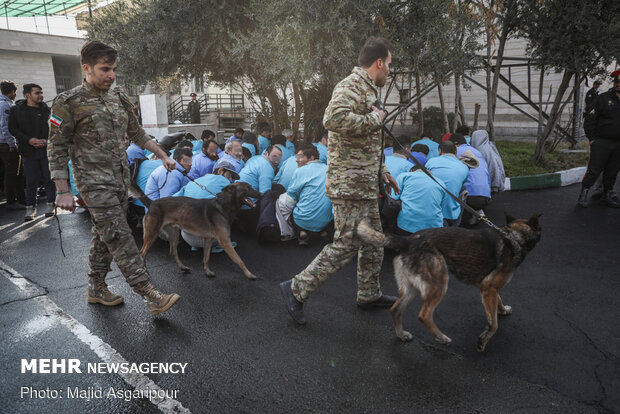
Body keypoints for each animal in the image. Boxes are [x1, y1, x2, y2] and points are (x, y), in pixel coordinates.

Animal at [133, 183, 262, 280]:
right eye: (248, 188)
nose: (261, 194)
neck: (224, 205)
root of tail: (152, 203)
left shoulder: (208, 239)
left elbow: (206, 258)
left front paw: (208, 272)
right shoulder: (225, 242)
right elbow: (239, 260)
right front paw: (249, 274)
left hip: (174, 234)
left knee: (172, 252)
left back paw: (183, 267)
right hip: (152, 235)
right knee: (142, 253)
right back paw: (145, 272)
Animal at [356, 213, 540, 352]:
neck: (513, 236)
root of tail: (408, 241)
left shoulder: (488, 288)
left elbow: (497, 304)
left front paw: (502, 310)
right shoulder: (488, 288)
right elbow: (493, 324)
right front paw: (483, 340)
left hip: (412, 288)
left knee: (395, 310)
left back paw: (402, 335)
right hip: (439, 284)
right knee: (424, 315)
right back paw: (441, 338)